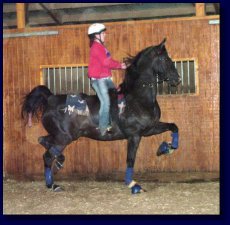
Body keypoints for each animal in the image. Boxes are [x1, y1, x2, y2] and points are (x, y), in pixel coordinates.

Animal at [21, 38, 180, 193]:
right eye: (165, 59)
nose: (177, 79)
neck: (137, 98)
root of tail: (50, 98)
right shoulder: (134, 135)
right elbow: (130, 159)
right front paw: (133, 185)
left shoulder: (150, 128)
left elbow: (174, 127)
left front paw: (167, 148)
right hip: (64, 137)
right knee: (47, 156)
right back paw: (53, 184)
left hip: (62, 135)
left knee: (42, 141)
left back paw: (59, 163)